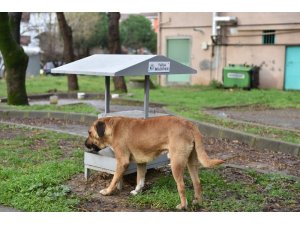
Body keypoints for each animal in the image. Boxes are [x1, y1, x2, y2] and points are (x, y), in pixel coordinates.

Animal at [84, 116, 223, 209]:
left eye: (90, 133)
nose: (84, 144)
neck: (112, 127)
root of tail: (189, 124)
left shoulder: (122, 162)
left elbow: (114, 179)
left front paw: (107, 191)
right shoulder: (141, 162)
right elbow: (140, 179)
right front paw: (137, 191)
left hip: (176, 164)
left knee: (181, 186)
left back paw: (183, 206)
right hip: (191, 163)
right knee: (197, 183)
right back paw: (198, 202)